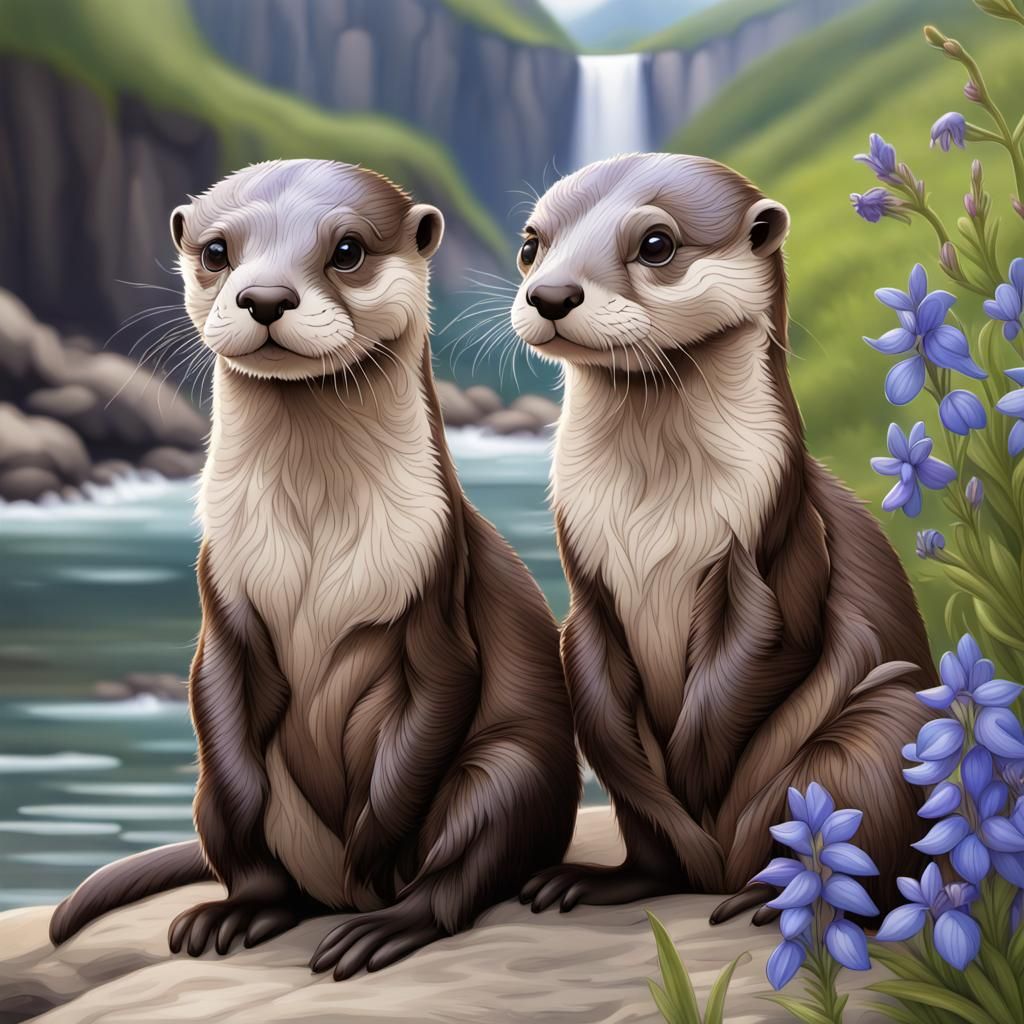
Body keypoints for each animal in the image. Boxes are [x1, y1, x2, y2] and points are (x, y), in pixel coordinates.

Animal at [49, 159, 580, 977]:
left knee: (465, 867)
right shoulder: (224, 593)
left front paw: (373, 851)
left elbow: (439, 700)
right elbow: (217, 699)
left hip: (511, 770)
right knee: (253, 857)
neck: (312, 538)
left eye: (349, 249)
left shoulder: (435, 587)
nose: (265, 297)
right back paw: (236, 913)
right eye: (215, 250)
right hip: (211, 802)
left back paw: (380, 922)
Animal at [510, 153, 935, 922]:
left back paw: (774, 891)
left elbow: (766, 648)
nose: (550, 294)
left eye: (656, 244)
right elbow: (602, 706)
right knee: (656, 856)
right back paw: (601, 881)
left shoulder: (772, 542)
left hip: (883, 724)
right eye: (532, 243)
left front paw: (697, 779)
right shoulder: (587, 582)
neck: (652, 517)